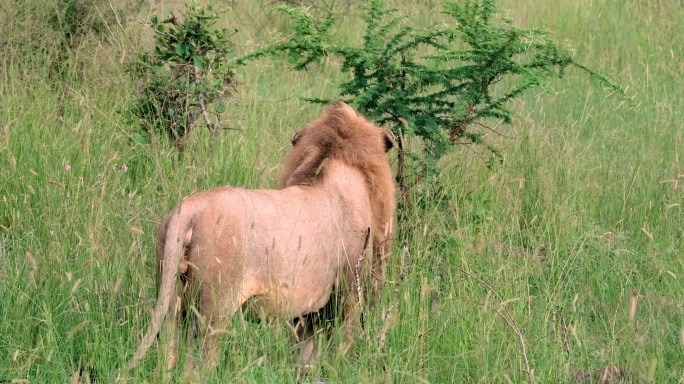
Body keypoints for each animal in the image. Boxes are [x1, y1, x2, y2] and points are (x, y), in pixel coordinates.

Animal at [125, 101, 398, 372]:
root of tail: (187, 211)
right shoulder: (348, 290)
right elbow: (342, 347)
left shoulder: (306, 310)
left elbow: (304, 357)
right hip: (214, 307)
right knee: (198, 365)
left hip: (171, 298)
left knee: (167, 355)